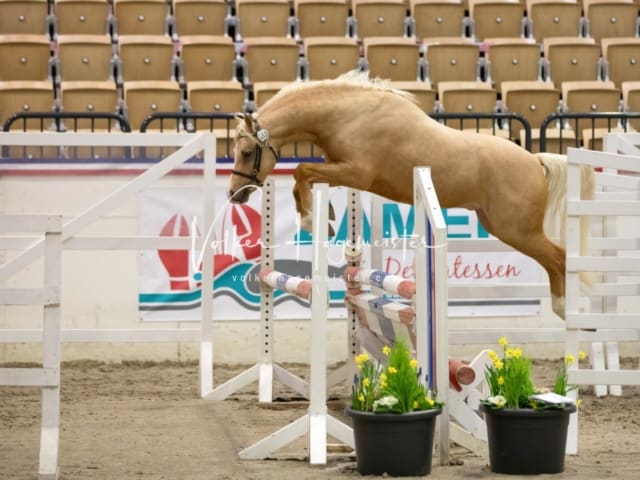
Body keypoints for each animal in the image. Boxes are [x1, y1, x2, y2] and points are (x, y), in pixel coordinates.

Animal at [226, 70, 596, 318]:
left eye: (246, 152)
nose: (235, 195)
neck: (347, 114)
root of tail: (535, 160)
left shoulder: (356, 171)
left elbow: (302, 170)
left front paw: (308, 220)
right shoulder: (343, 170)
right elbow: (302, 177)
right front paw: (324, 217)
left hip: (518, 231)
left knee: (560, 258)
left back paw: (566, 310)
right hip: (503, 226)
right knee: (555, 260)